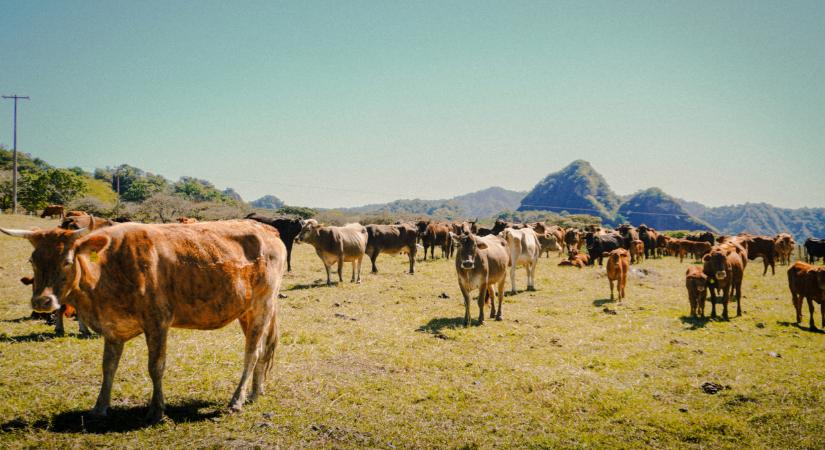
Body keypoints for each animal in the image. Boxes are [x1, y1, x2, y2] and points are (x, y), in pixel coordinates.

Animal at [1, 220, 286, 424]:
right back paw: (255, 393)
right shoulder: (113, 329)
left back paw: (237, 399)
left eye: (67, 261)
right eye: (33, 260)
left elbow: (156, 367)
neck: (108, 269)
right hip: (247, 312)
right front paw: (99, 407)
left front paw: (157, 411)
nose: (42, 301)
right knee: (262, 351)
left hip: (262, 306)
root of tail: (267, 229)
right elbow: (108, 367)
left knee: (252, 352)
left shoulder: (157, 321)